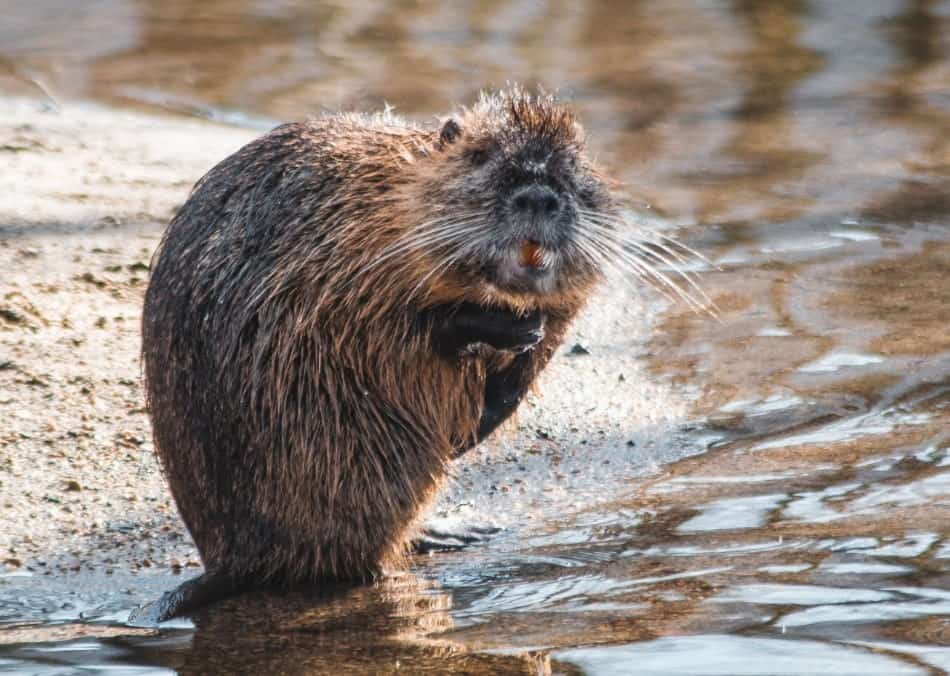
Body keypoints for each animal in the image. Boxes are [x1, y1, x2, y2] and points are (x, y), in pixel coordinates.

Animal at [138, 87, 620, 620]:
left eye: (573, 164)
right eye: (480, 155)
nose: (538, 197)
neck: (389, 192)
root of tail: (228, 567)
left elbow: (545, 337)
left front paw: (491, 399)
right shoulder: (334, 257)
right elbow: (387, 329)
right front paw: (500, 332)